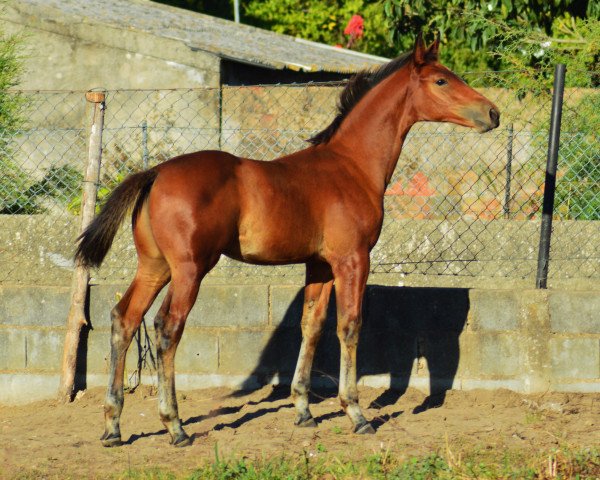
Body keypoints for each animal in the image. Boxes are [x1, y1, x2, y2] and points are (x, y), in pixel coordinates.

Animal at [76, 32, 502, 446]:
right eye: (442, 80)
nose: (493, 113)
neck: (351, 166)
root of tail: (156, 173)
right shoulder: (352, 259)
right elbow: (350, 325)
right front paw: (356, 414)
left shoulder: (319, 265)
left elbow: (311, 325)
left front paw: (303, 411)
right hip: (189, 269)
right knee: (167, 328)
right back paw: (175, 426)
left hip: (154, 266)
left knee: (124, 319)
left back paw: (113, 427)